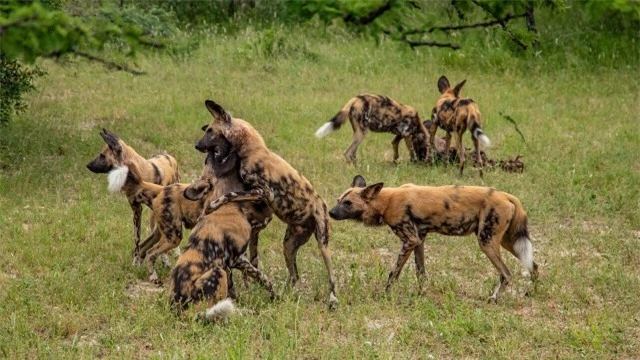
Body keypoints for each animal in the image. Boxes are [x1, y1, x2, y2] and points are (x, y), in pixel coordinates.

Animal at [85, 129, 180, 262]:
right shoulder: (136, 211)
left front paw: (164, 258)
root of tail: (168, 156)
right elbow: (137, 240)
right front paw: (136, 260)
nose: (87, 165)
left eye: (102, 156)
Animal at [171, 139, 276, 320]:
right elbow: (262, 277)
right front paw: (275, 296)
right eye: (209, 159)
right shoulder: (238, 259)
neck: (227, 206)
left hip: (221, 272)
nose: (206, 148)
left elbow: (233, 290)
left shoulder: (228, 265)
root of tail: (179, 310)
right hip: (217, 272)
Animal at [199, 100, 340, 308]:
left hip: (323, 243)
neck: (251, 149)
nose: (197, 145)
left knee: (331, 276)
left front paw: (212, 205)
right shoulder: (257, 195)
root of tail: (322, 204)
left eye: (209, 131)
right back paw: (285, 295)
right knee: (294, 276)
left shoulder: (263, 192)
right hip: (288, 245)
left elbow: (229, 195)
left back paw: (332, 298)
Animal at [330, 176, 540, 302]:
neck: (386, 201)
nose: (330, 212)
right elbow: (420, 272)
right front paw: (420, 294)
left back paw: (493, 299)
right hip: (508, 241)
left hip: (486, 242)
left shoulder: (409, 240)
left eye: (348, 203)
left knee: (506, 274)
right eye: (338, 200)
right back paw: (533, 293)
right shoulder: (419, 240)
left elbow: (393, 273)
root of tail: (507, 195)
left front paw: (384, 295)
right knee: (534, 265)